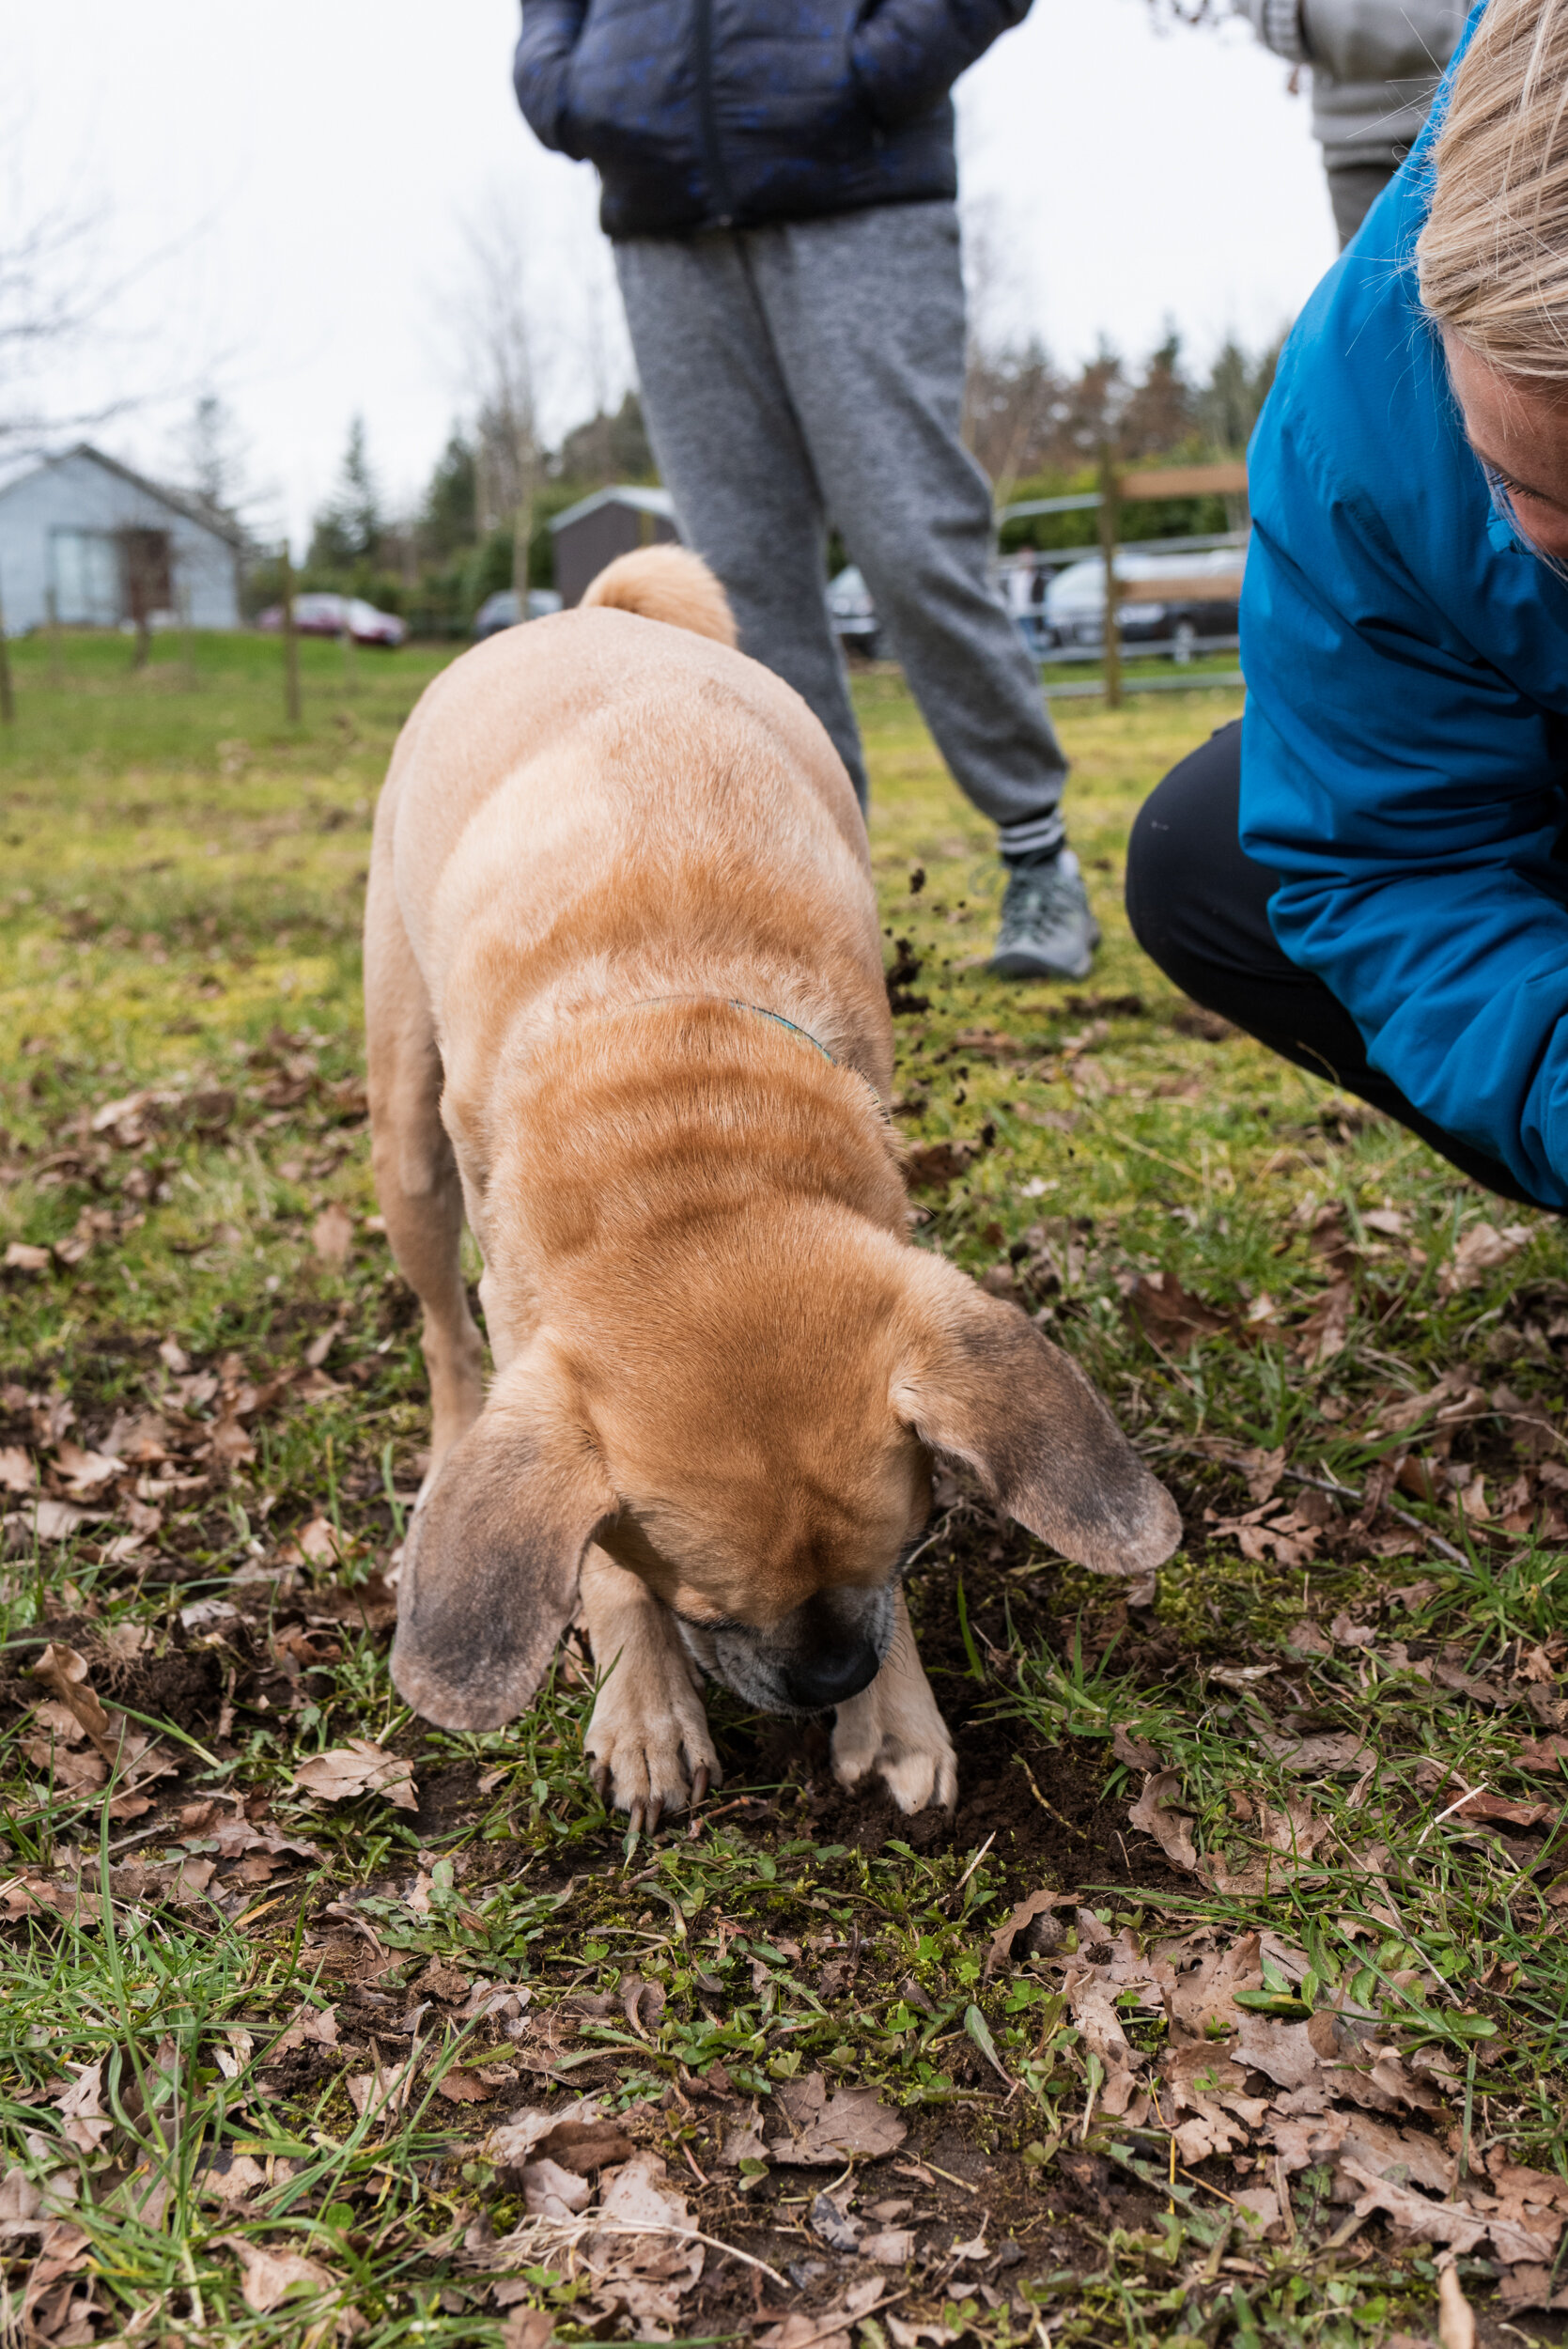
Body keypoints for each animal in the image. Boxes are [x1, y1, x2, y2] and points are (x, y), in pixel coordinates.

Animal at [368, 540, 1173, 1823]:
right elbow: (586, 1553)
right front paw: (645, 1699)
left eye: (914, 1543)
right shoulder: (526, 1322)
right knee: (443, 1337)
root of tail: (589, 614)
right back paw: (447, 1462)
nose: (832, 1676)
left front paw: (896, 1710)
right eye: (702, 1606)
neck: (681, 1097)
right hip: (405, 1127)